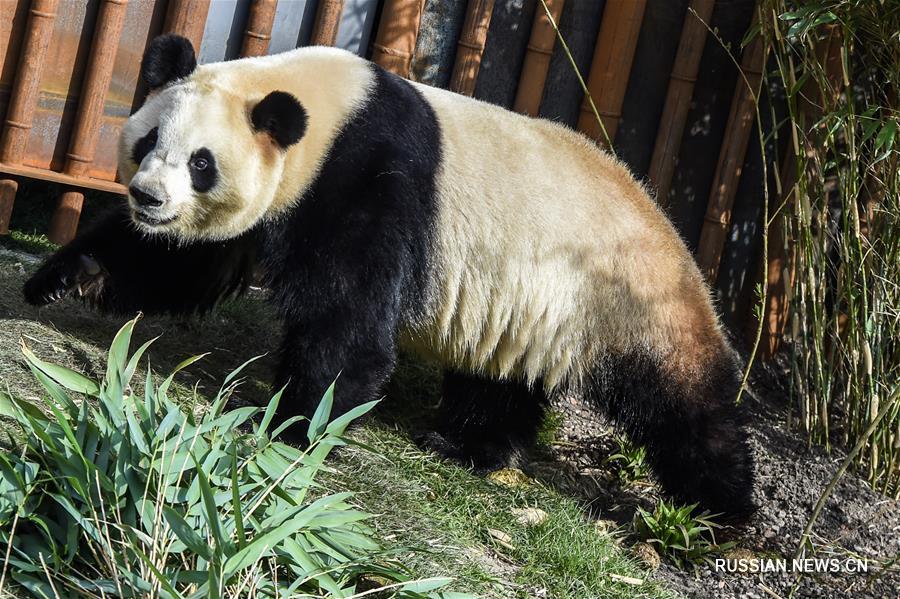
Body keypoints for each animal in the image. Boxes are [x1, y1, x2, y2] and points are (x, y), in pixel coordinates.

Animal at [24, 35, 756, 516]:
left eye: (201, 163)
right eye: (148, 141)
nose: (148, 197)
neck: (321, 110)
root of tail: (672, 228)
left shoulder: (366, 176)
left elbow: (346, 315)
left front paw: (298, 421)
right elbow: (183, 258)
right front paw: (66, 278)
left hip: (622, 297)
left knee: (681, 402)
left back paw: (720, 507)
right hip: (528, 302)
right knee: (500, 378)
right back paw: (464, 443)